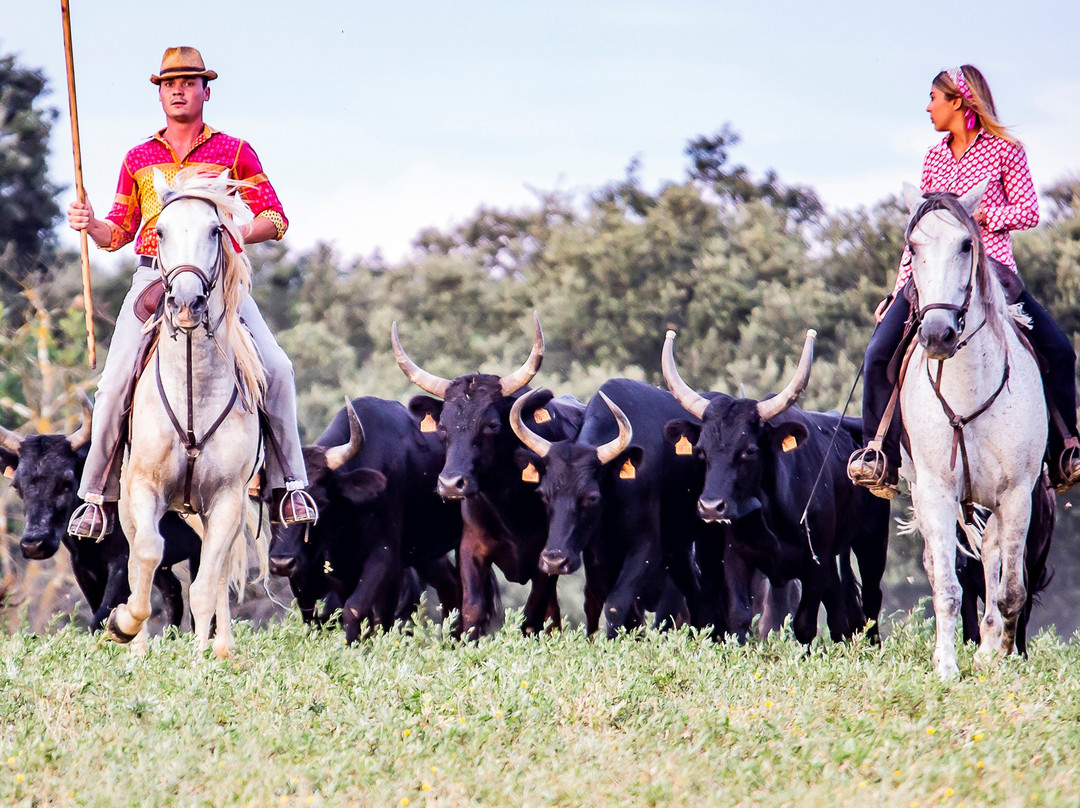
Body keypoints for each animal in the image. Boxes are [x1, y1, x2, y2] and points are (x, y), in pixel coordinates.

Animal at [106, 168, 266, 656]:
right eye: (159, 231)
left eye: (217, 230)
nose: (187, 303)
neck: (194, 389)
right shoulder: (144, 488)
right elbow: (147, 555)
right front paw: (124, 625)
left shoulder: (228, 498)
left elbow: (206, 585)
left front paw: (204, 657)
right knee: (137, 558)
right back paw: (136, 646)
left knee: (219, 575)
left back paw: (224, 648)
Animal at [267, 397, 462, 643]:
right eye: (268, 500)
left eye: (319, 501)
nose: (281, 562)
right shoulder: (339, 570)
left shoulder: (384, 557)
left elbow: (355, 608)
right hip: (427, 555)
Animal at [665, 328, 885, 643]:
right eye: (701, 451)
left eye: (749, 450)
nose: (710, 507)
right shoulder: (736, 559)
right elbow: (740, 617)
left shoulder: (815, 565)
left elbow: (804, 624)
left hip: (872, 541)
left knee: (871, 601)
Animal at [902, 180, 1045, 678]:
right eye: (912, 246)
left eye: (967, 243)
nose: (937, 335)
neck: (967, 390)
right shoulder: (934, 492)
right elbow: (945, 585)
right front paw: (946, 666)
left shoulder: (1017, 493)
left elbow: (1011, 589)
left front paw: (1001, 654)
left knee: (992, 554)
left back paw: (989, 643)